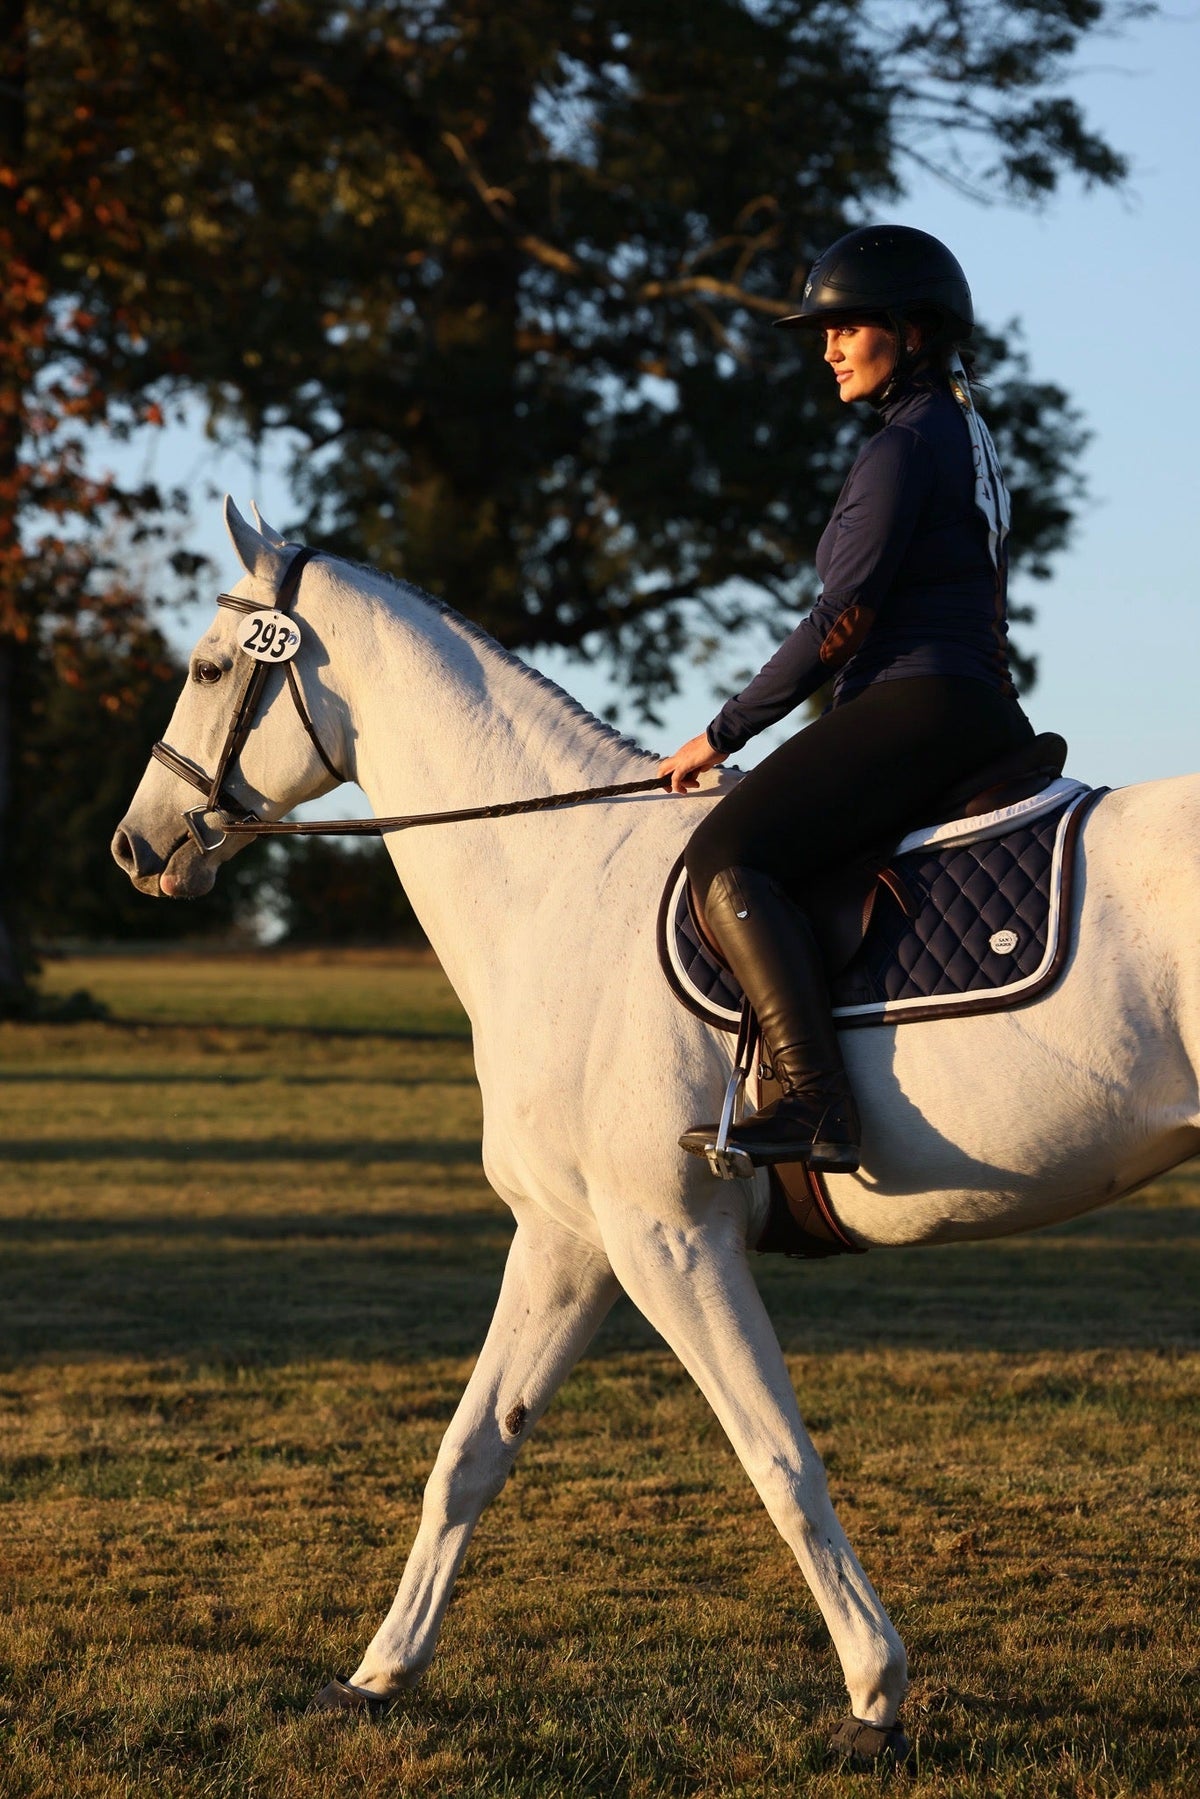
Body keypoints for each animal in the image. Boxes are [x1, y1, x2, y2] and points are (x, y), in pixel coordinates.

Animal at [112, 498, 1200, 1756]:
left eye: (206, 666)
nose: (136, 846)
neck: (553, 879)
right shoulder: (567, 1239)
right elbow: (471, 1452)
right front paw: (378, 1673)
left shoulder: (668, 1239)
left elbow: (779, 1458)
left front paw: (875, 1691)